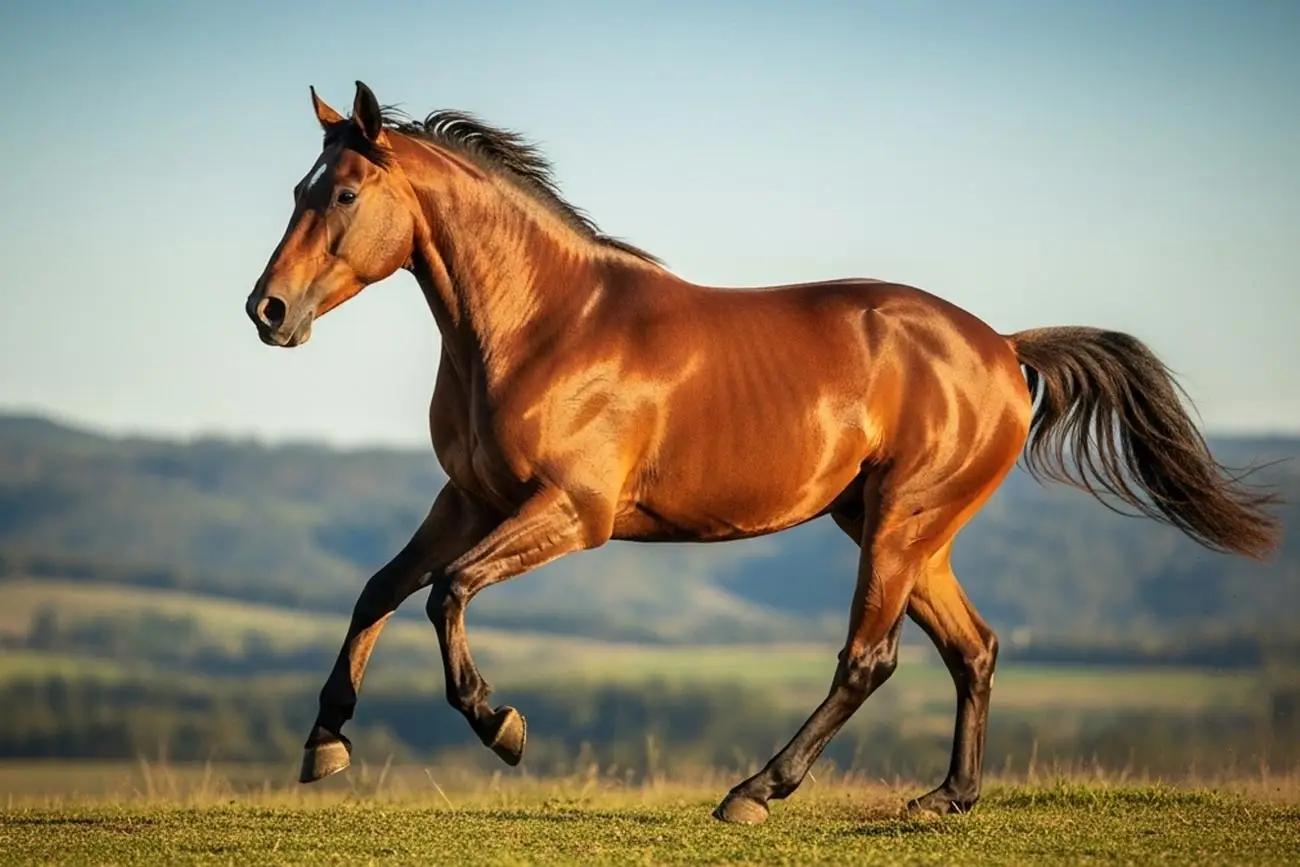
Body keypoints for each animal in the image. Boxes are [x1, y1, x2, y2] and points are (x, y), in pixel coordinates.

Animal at [245, 81, 1281, 823]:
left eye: (343, 193)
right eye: (297, 189)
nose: (268, 311)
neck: (542, 326)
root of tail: (1002, 347)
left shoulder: (572, 512)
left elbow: (447, 591)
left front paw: (501, 724)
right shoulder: (466, 496)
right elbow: (381, 588)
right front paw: (325, 739)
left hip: (901, 520)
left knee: (870, 658)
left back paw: (755, 791)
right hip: (902, 526)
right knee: (972, 648)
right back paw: (943, 799)